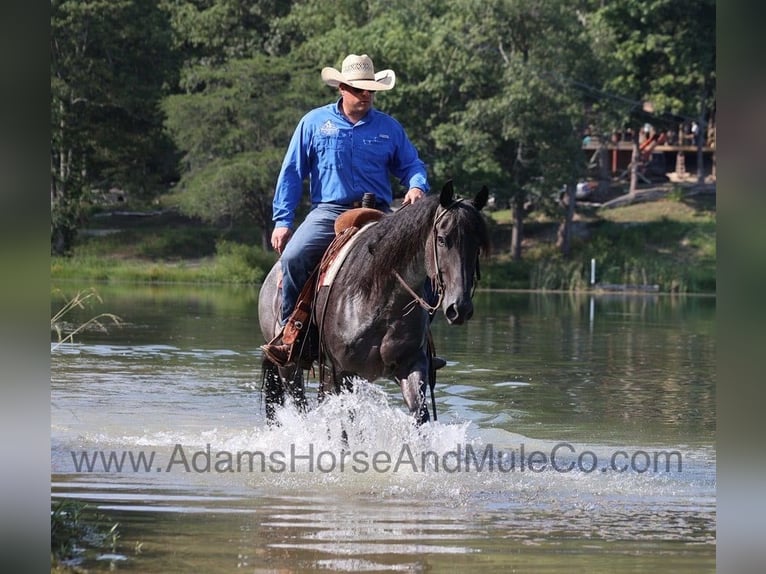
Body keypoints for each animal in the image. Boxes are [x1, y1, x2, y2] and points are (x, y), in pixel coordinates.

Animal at [257, 180, 489, 425]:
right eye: (442, 239)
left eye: (477, 245)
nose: (460, 308)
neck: (382, 301)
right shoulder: (343, 372)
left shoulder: (411, 365)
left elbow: (420, 414)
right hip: (290, 368)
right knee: (301, 405)